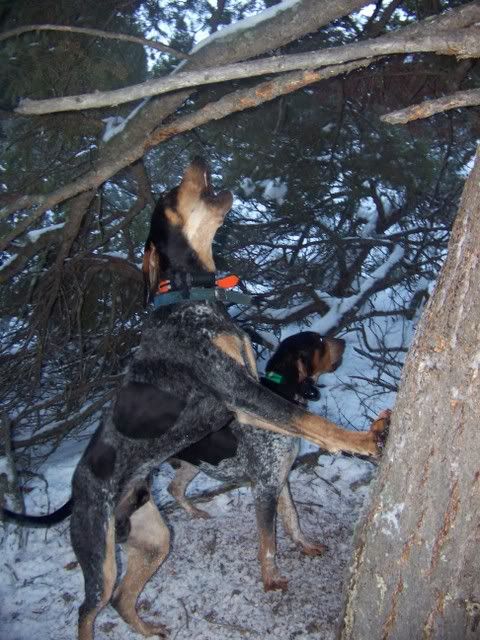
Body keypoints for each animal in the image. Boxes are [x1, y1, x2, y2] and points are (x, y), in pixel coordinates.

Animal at [167, 330, 345, 591]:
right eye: (319, 341)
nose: (344, 341)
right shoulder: (264, 489)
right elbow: (268, 542)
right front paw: (271, 578)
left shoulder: (280, 478)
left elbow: (292, 517)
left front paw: (305, 544)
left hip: (195, 463)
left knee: (175, 488)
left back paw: (195, 512)